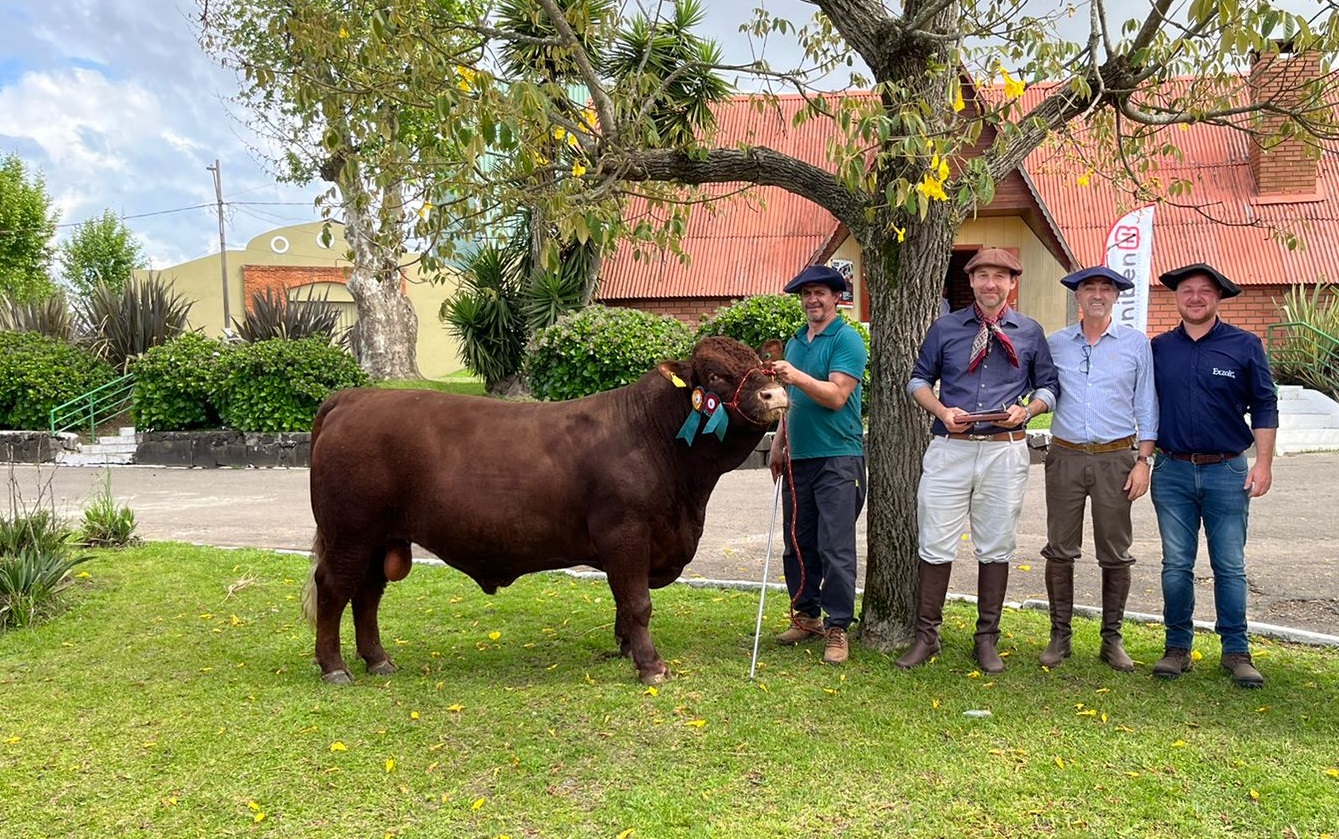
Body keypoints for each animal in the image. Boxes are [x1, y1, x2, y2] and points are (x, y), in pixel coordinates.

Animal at [303, 338, 781, 685]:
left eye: (762, 362)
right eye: (716, 374)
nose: (775, 393)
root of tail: (351, 399)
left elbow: (623, 602)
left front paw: (625, 648)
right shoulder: (625, 534)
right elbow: (637, 601)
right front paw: (651, 665)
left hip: (378, 539)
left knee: (367, 594)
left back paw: (378, 660)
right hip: (350, 534)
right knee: (334, 589)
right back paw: (334, 668)